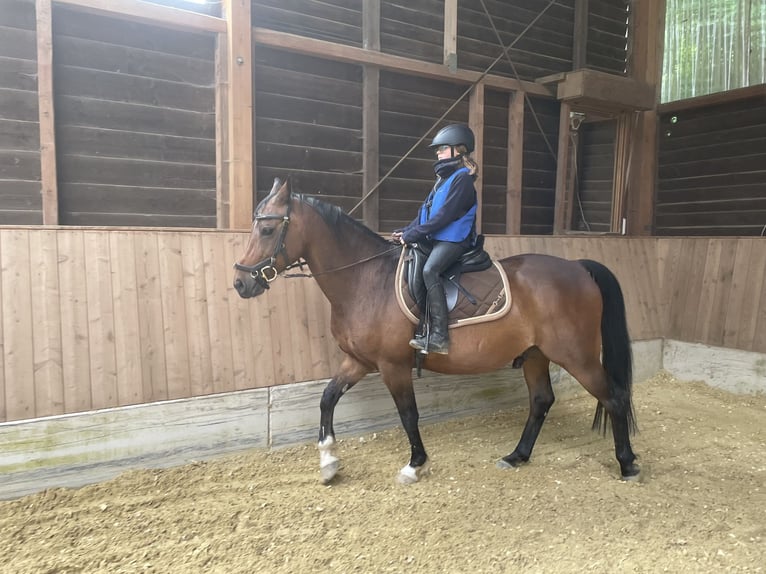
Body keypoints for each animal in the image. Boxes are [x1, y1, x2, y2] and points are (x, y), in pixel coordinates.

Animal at [234, 181, 640, 486]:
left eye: (267, 229)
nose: (240, 283)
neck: (366, 281)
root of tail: (577, 267)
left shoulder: (392, 365)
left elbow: (408, 415)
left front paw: (414, 465)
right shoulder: (358, 361)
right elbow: (327, 399)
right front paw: (328, 462)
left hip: (577, 355)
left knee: (614, 398)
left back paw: (627, 464)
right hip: (536, 355)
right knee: (541, 400)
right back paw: (517, 456)